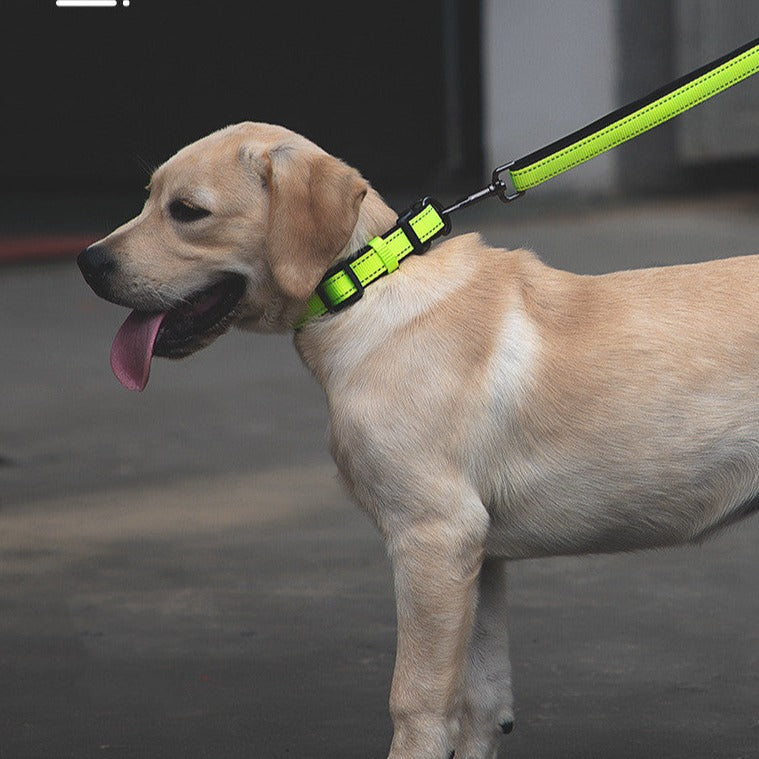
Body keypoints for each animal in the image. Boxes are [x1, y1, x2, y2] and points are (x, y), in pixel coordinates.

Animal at [77, 123, 759, 759]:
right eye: (148, 198)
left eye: (188, 211)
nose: (87, 262)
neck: (363, 289)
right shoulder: (479, 556)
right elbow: (482, 703)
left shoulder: (433, 535)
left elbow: (418, 701)